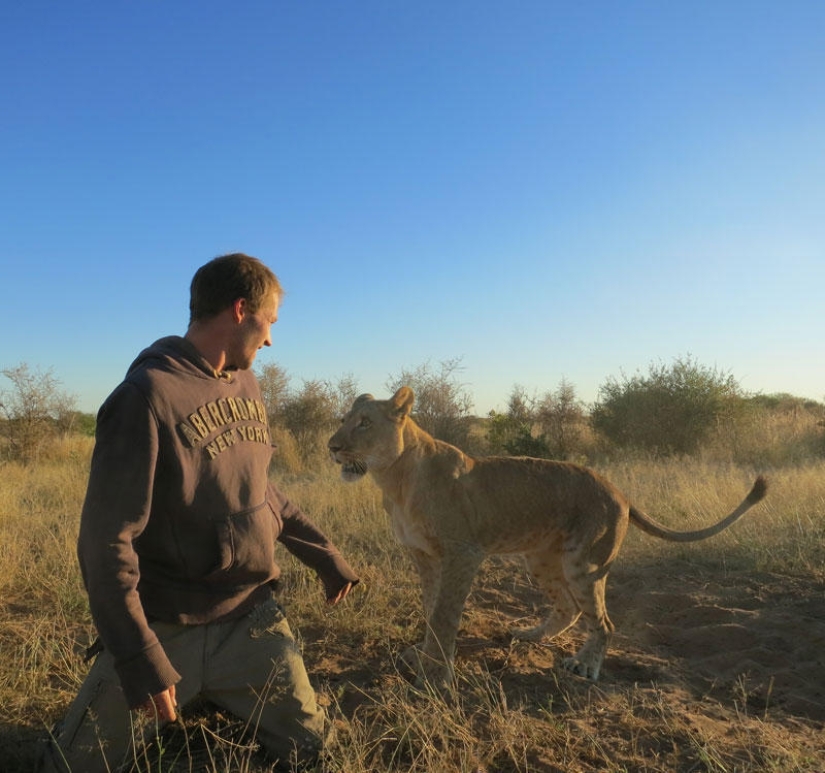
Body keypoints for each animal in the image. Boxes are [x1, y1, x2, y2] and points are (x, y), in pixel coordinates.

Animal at [328, 387, 768, 687]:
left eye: (364, 423)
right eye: (342, 420)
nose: (332, 447)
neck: (394, 481)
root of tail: (621, 492)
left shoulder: (463, 553)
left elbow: (444, 614)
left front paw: (436, 675)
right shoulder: (425, 557)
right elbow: (430, 608)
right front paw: (422, 656)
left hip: (584, 563)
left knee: (603, 621)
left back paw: (584, 665)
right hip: (540, 559)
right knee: (569, 608)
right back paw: (528, 636)